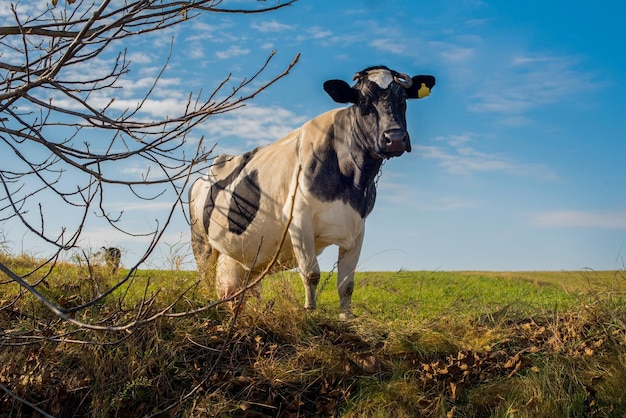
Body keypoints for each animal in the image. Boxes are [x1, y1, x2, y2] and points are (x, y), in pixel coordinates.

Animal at [190, 66, 434, 320]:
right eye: (363, 100)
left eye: (403, 99)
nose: (394, 138)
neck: (354, 179)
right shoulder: (299, 220)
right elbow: (311, 273)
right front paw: (310, 311)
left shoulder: (358, 227)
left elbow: (346, 284)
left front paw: (346, 317)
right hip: (202, 244)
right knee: (206, 279)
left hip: (249, 255)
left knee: (246, 288)